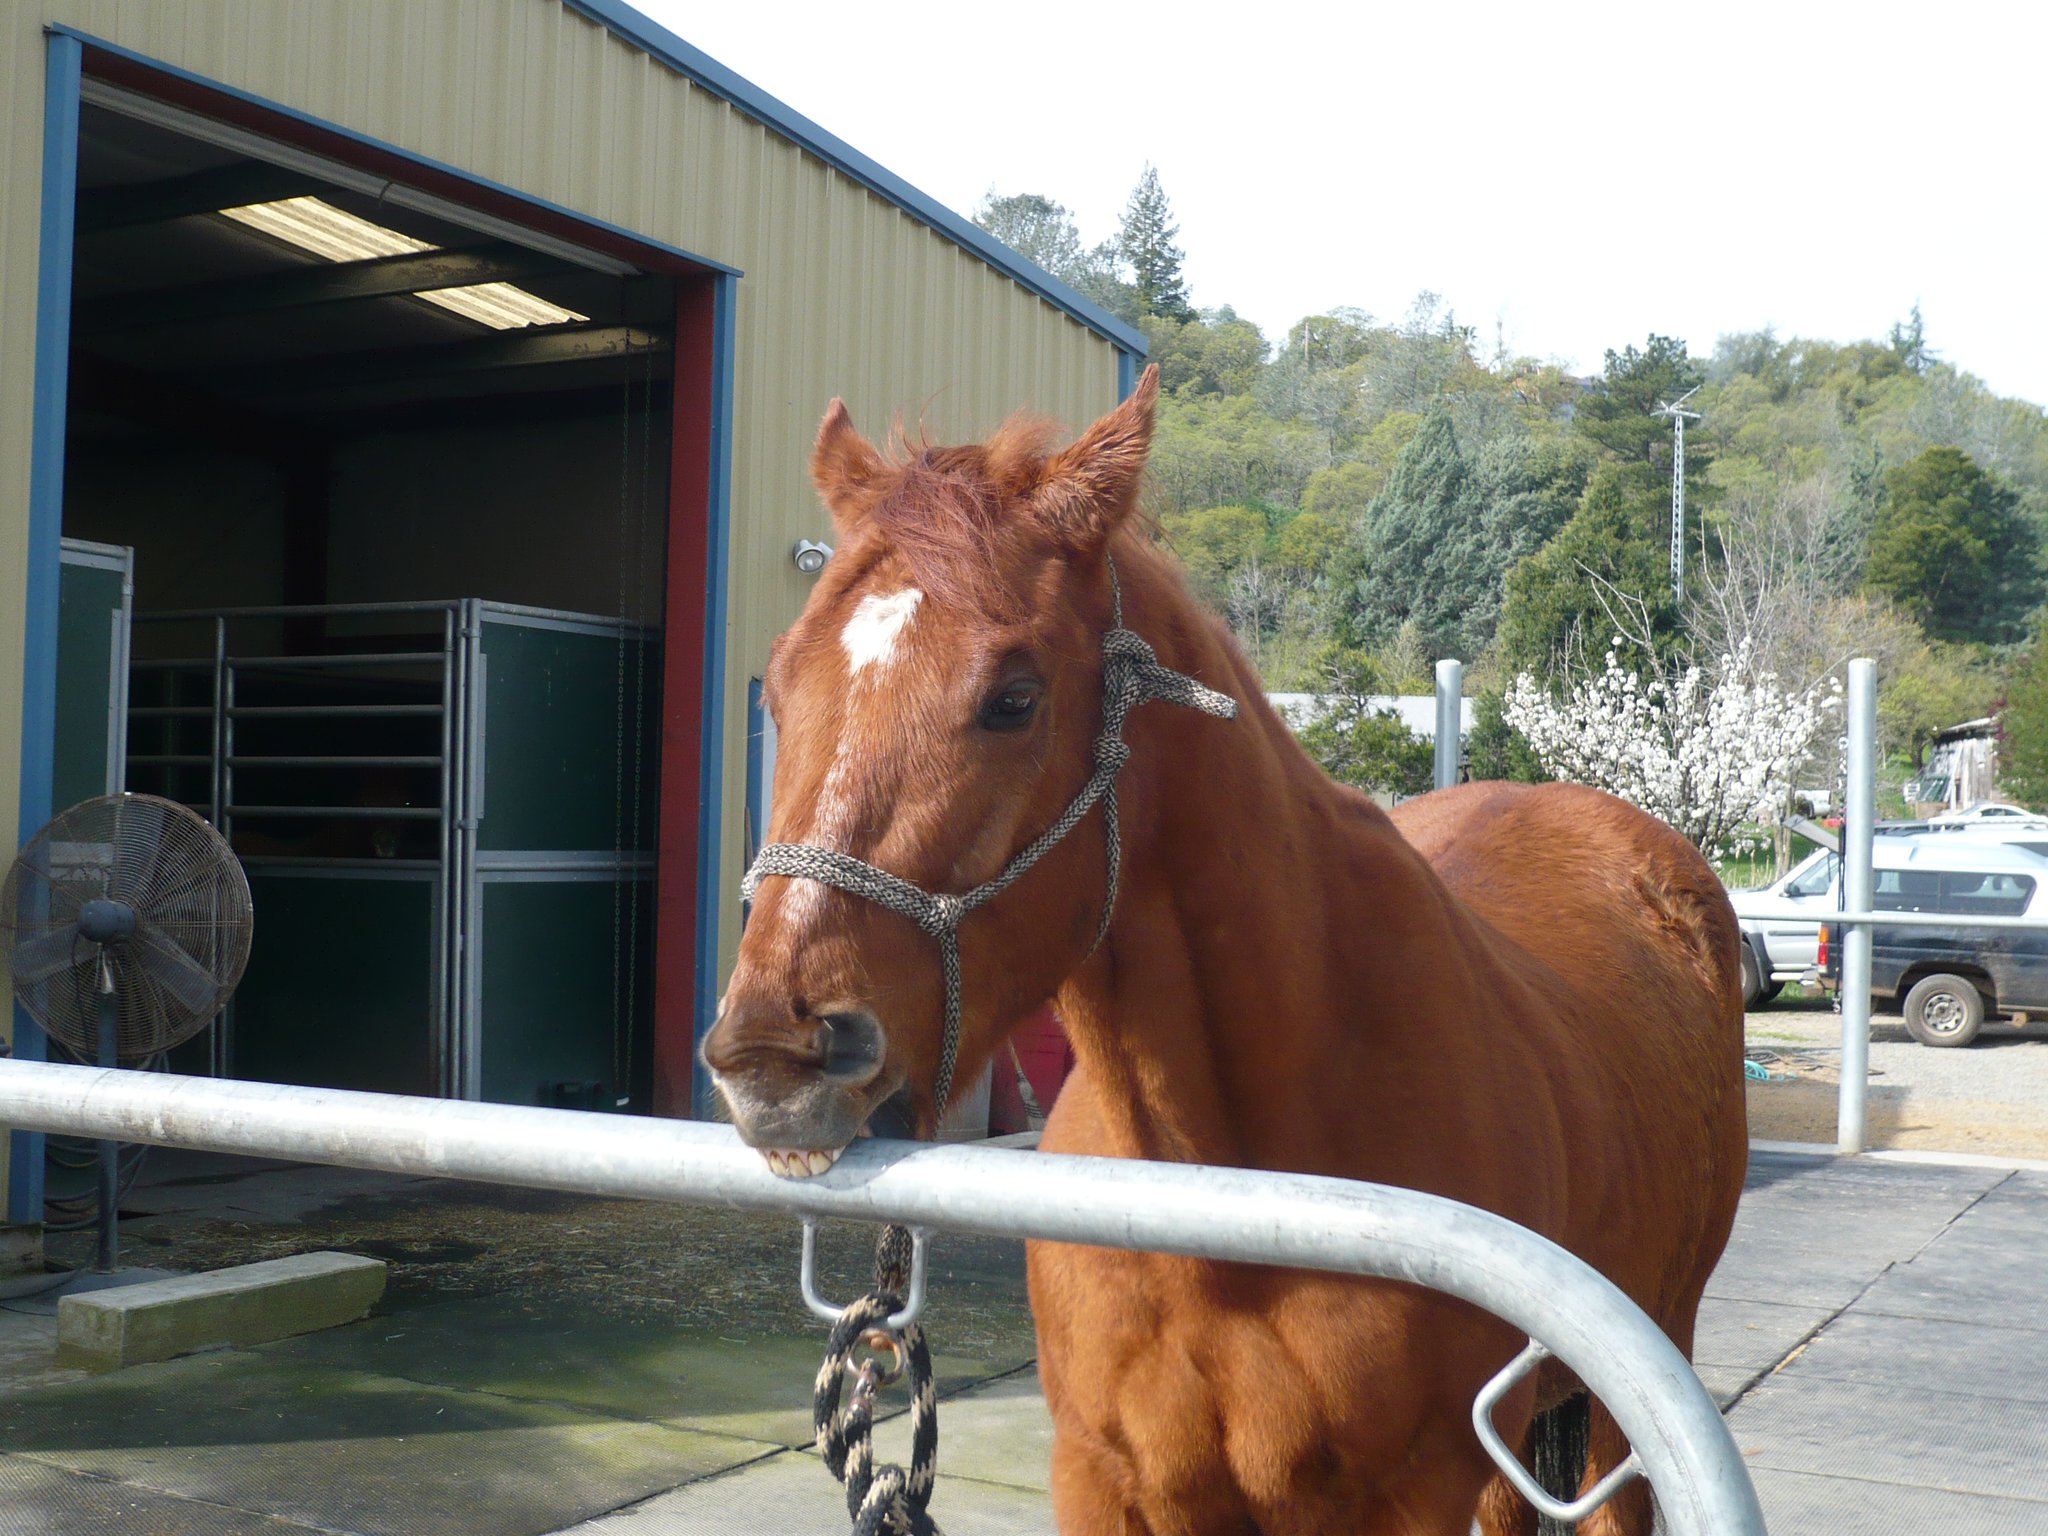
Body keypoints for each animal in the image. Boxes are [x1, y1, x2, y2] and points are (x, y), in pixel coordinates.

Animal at [702, 365, 1749, 1536]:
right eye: (781, 683)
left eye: (1012, 700)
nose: (773, 1055)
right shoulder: (1109, 1483)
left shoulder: (1421, 1490)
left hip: (1632, 1385)